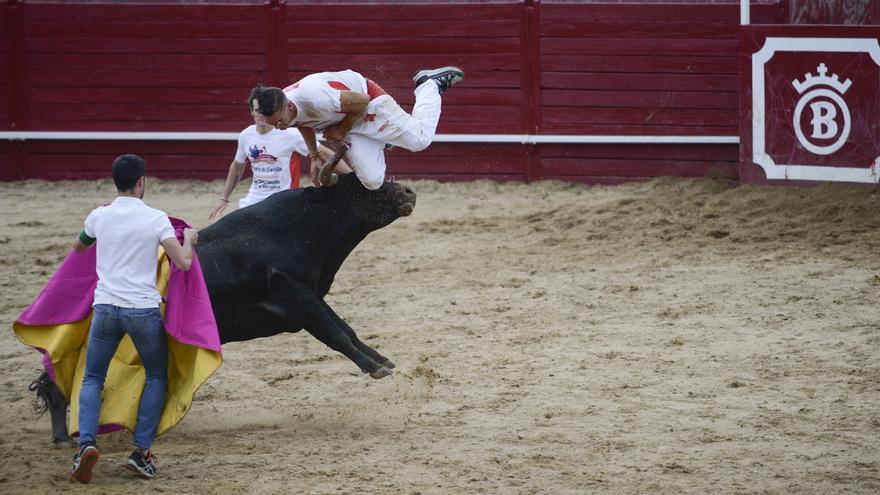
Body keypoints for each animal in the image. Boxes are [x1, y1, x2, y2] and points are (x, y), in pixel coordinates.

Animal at [24, 174, 416, 446]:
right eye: (364, 186)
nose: (408, 192)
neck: (307, 223)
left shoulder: (311, 297)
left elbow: (346, 330)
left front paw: (383, 361)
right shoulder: (297, 297)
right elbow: (335, 333)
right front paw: (375, 368)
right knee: (61, 381)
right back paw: (65, 435)